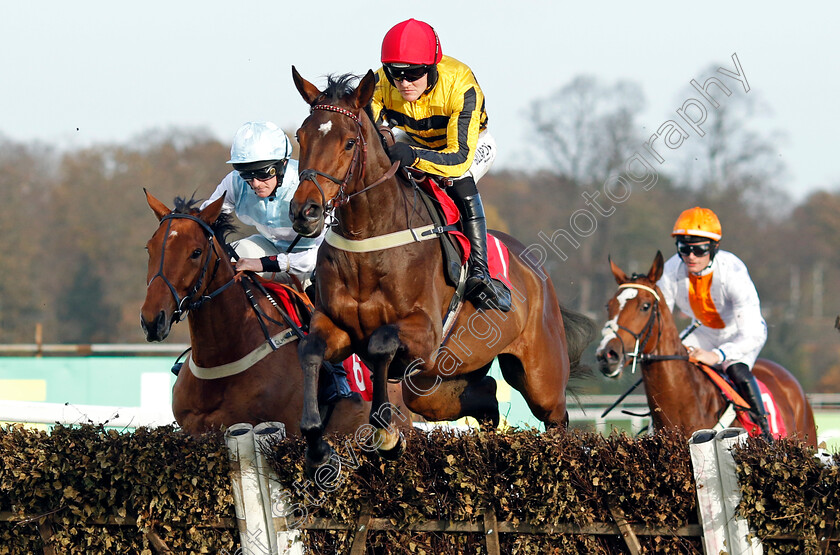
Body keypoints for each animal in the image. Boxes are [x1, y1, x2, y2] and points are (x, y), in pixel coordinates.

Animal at [288, 67, 596, 476]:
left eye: (350, 143)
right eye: (300, 136)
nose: (304, 212)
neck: (369, 242)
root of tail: (538, 270)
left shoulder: (424, 333)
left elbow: (381, 343)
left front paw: (385, 434)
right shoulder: (335, 326)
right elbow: (310, 351)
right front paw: (317, 445)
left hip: (540, 376)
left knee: (555, 419)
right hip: (436, 382)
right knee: (487, 399)